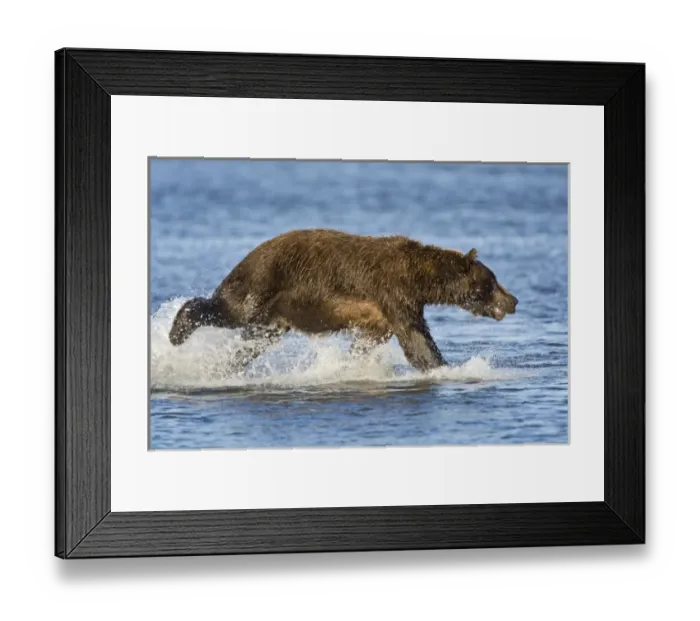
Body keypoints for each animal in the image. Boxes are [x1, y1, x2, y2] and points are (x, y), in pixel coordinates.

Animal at [168, 229, 518, 372]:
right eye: (492, 281)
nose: (513, 300)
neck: (420, 279)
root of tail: (248, 255)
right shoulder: (393, 293)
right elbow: (416, 338)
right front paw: (449, 367)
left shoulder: (379, 315)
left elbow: (367, 341)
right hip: (261, 282)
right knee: (228, 310)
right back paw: (175, 333)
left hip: (274, 318)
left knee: (252, 342)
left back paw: (223, 366)